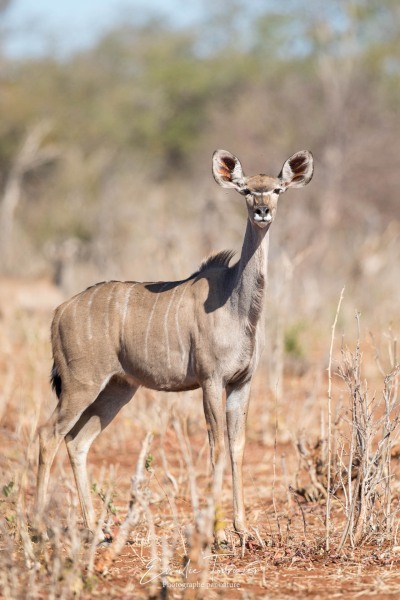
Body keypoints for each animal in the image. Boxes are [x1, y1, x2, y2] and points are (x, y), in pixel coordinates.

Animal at [36, 148, 314, 536]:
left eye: (277, 189)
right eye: (245, 190)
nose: (262, 211)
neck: (235, 304)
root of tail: (60, 311)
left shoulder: (241, 383)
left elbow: (237, 447)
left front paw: (243, 529)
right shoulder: (211, 381)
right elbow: (216, 447)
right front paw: (218, 532)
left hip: (118, 389)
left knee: (77, 441)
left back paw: (96, 529)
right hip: (81, 385)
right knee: (49, 435)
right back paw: (36, 526)